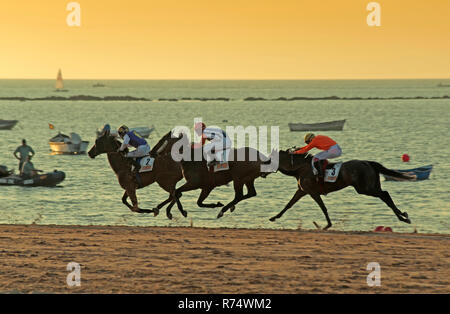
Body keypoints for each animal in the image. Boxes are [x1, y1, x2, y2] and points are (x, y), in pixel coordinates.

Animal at [268, 149, 414, 228]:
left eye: (268, 160)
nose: (263, 172)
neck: (301, 169)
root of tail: (367, 162)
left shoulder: (312, 192)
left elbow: (323, 207)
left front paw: (327, 225)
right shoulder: (302, 191)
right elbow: (288, 205)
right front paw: (274, 217)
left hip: (365, 188)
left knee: (385, 194)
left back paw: (403, 216)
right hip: (370, 186)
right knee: (385, 195)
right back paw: (403, 216)